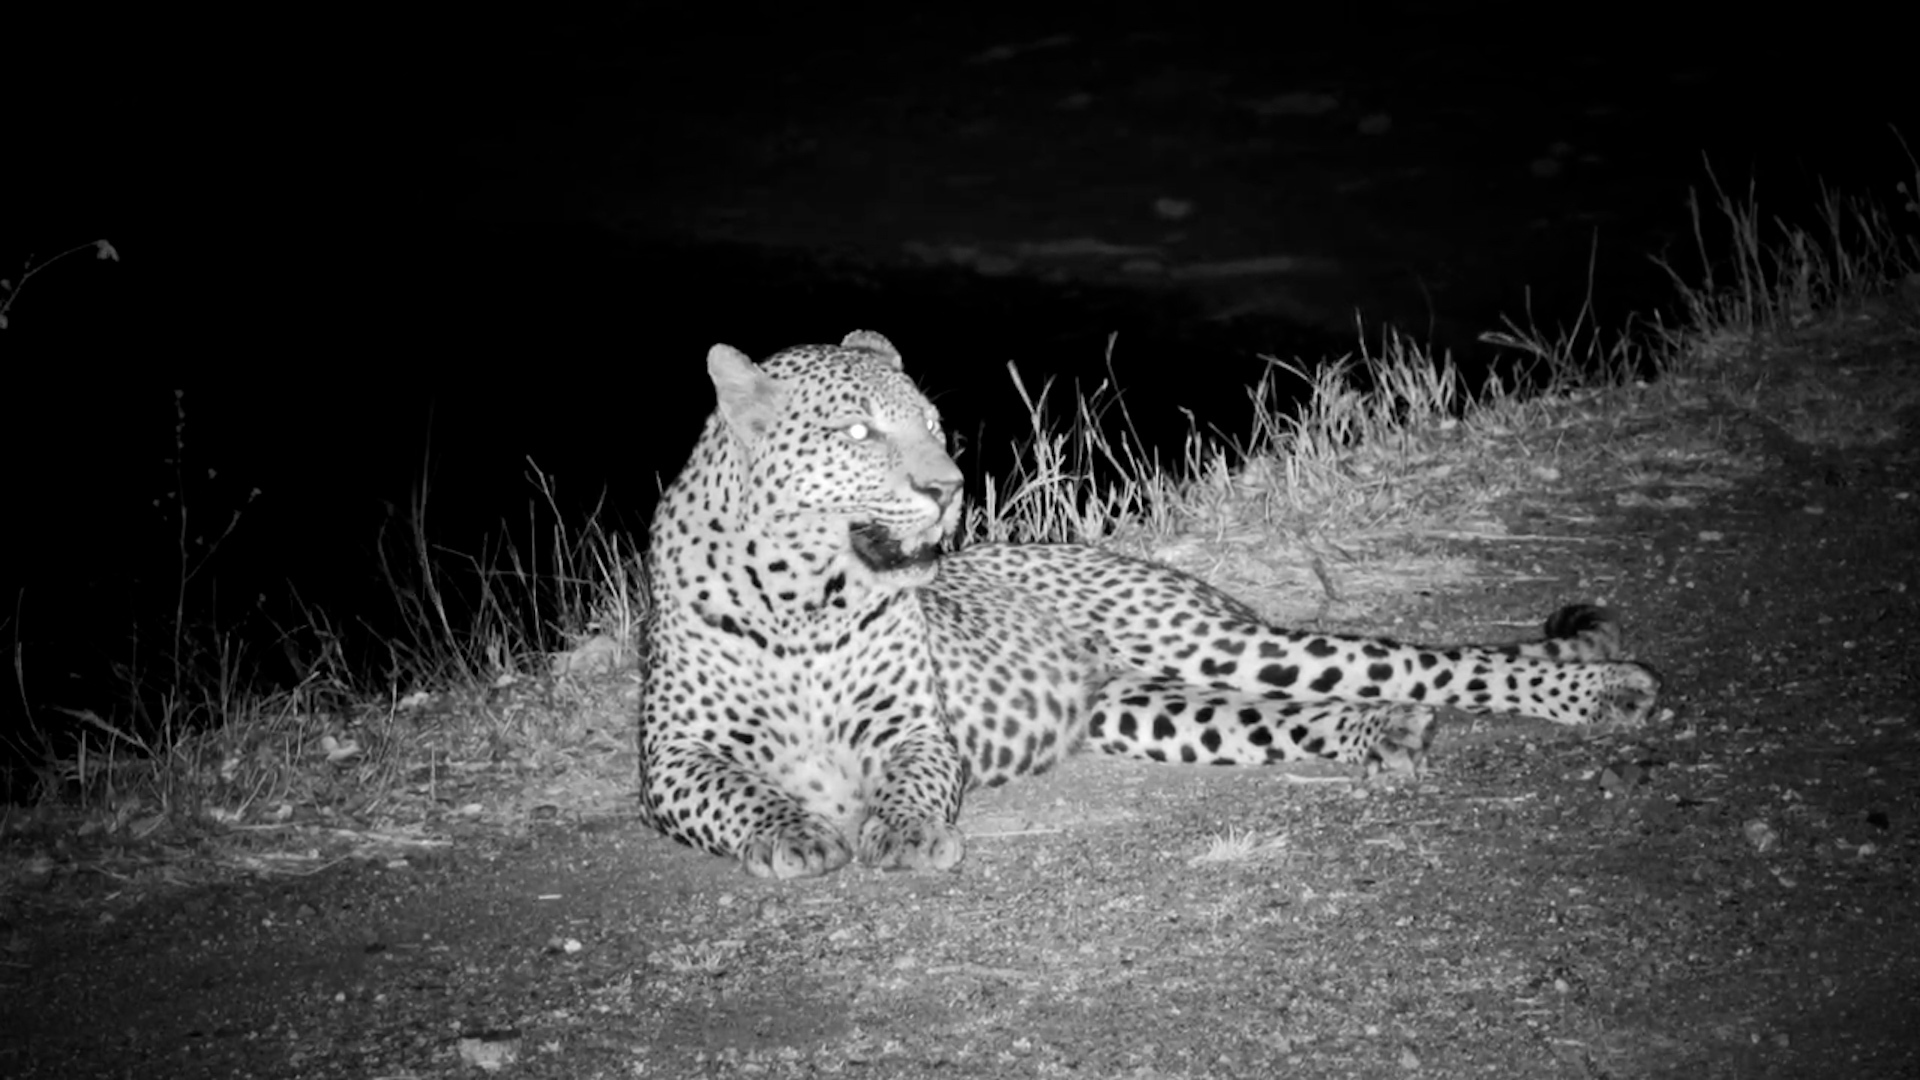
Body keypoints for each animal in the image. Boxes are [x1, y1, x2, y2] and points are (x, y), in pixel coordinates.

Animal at [637, 330, 1661, 879]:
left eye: (932, 426)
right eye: (856, 434)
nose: (950, 489)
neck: (804, 597)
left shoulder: (915, 731)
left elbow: (910, 781)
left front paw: (908, 832)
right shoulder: (670, 763)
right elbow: (736, 788)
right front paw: (795, 833)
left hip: (1220, 645)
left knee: (1426, 661)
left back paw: (1608, 689)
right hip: (1142, 708)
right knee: (1307, 708)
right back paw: (1387, 733)